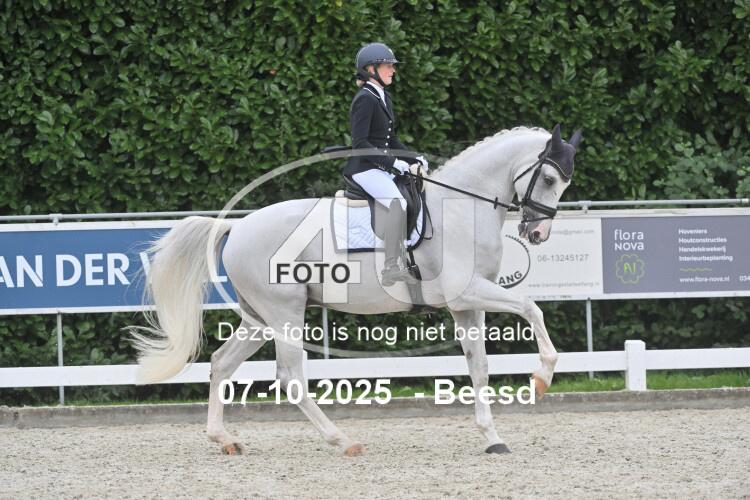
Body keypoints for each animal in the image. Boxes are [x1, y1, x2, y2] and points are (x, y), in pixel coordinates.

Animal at [129, 124, 582, 456]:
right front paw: (541, 377)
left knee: (222, 363)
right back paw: (342, 441)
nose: (537, 233)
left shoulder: (466, 305)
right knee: (290, 376)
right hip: (284, 313)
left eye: (564, 183)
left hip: (259, 318)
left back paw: (225, 440)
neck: (461, 211)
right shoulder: (469, 291)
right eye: (548, 177)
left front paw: (492, 438)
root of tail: (237, 227)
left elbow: (480, 367)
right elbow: (531, 307)